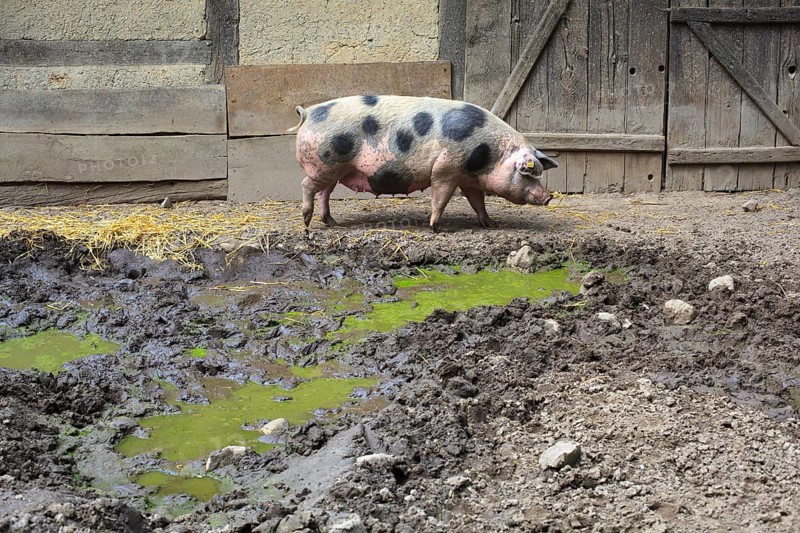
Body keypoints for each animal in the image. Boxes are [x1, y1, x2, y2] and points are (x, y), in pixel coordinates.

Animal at [291, 95, 557, 231]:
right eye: (528, 173)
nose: (548, 196)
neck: (489, 153)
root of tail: (308, 113)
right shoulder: (446, 169)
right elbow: (440, 198)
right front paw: (436, 228)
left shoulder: (468, 178)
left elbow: (477, 201)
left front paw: (490, 224)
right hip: (324, 164)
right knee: (306, 185)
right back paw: (306, 222)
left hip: (332, 169)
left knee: (324, 192)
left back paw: (331, 223)